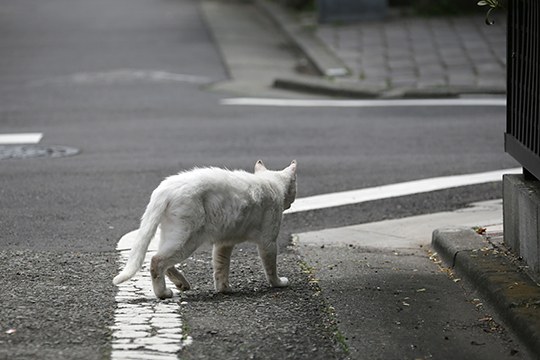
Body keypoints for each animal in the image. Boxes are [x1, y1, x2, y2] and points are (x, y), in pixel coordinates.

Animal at [112, 160, 298, 298]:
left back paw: (182, 283)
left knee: (163, 260)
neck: (272, 183)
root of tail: (165, 188)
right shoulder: (268, 242)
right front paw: (278, 283)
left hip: (174, 236)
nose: (291, 203)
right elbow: (271, 267)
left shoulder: (224, 244)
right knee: (156, 260)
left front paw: (224, 289)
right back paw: (163, 293)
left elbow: (221, 268)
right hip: (187, 239)